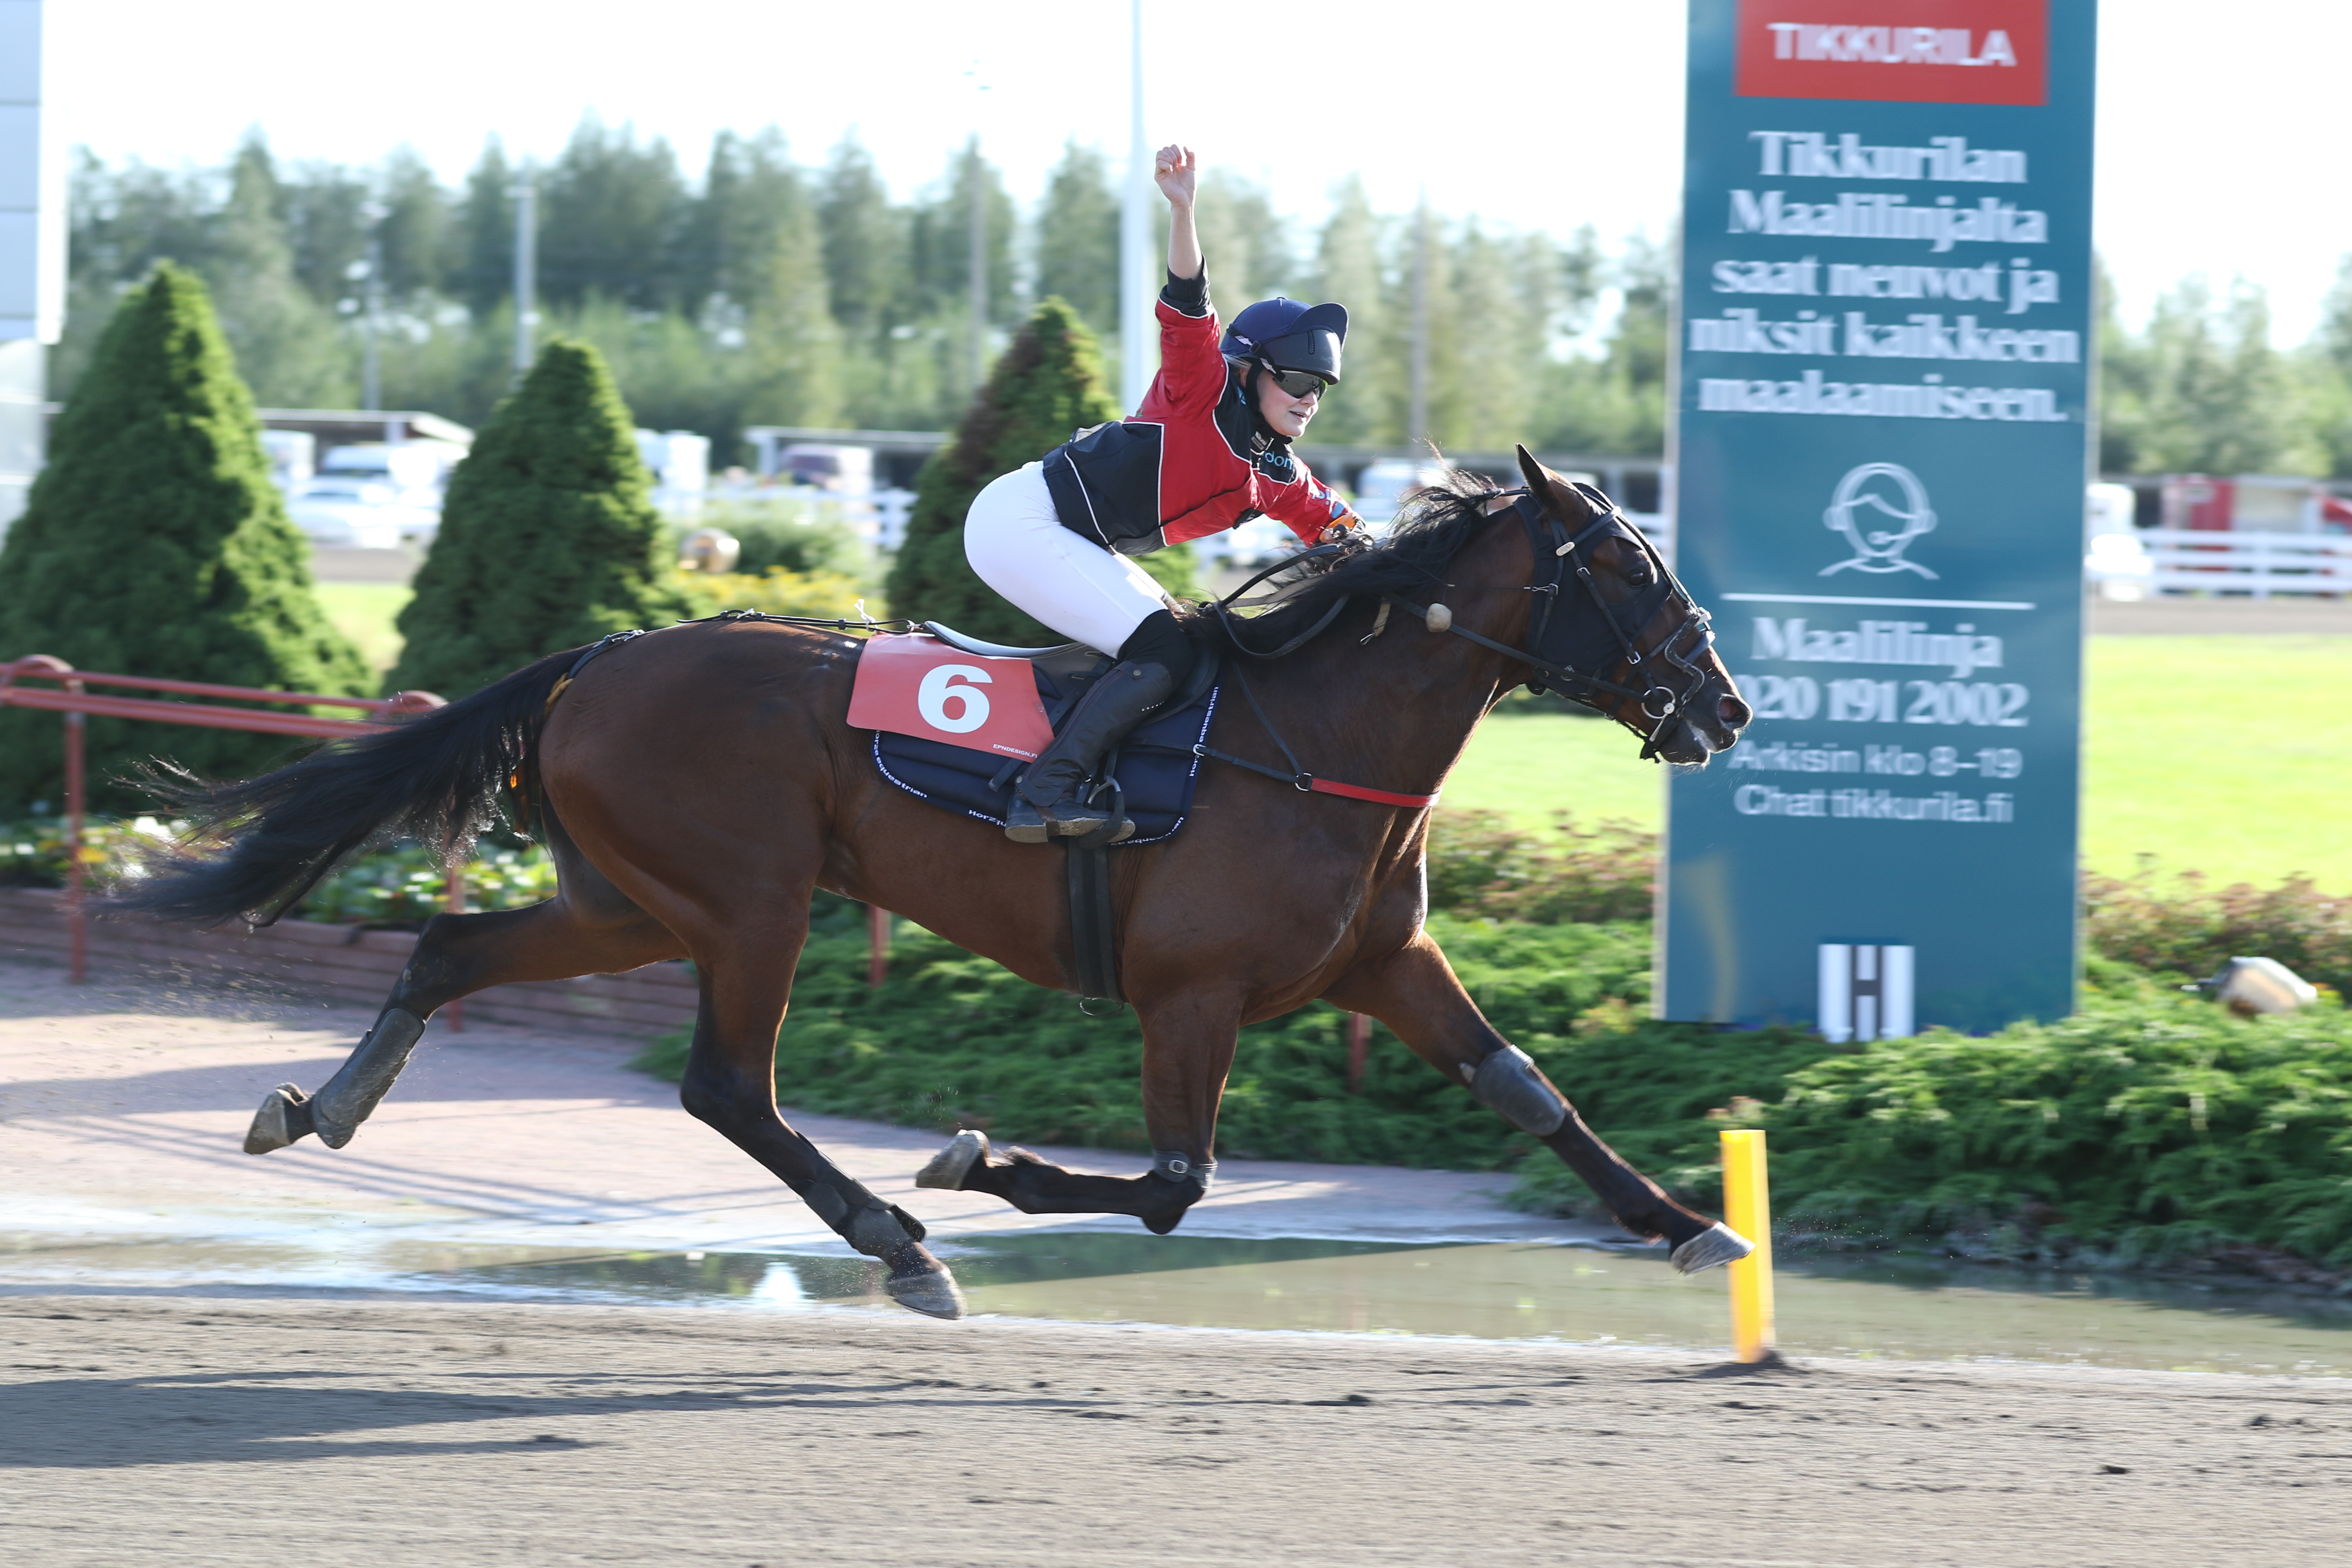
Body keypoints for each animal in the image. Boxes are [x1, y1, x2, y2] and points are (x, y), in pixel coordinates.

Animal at [119, 447, 1759, 1316]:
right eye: (1629, 566)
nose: (1726, 703)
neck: (1319, 738)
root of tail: (603, 653)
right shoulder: (1193, 990)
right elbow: (1175, 1184)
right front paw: (975, 1164)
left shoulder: (1382, 967)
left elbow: (1528, 1089)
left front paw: (1690, 1221)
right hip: (750, 904)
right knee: (728, 1084)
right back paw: (899, 1243)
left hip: (631, 899)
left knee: (453, 946)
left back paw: (318, 1105)